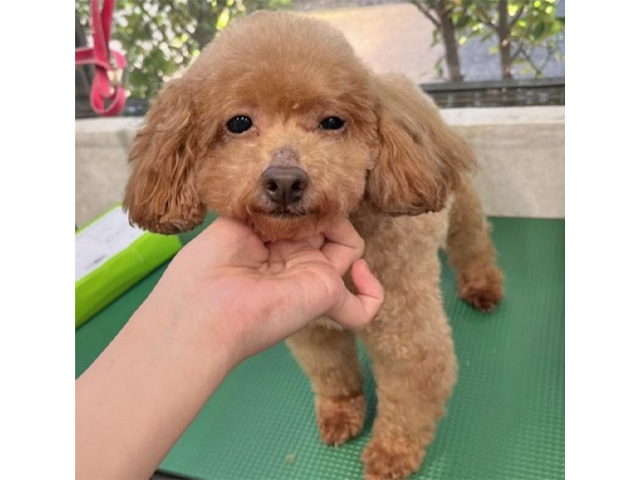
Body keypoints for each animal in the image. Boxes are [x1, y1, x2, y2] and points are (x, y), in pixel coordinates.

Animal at [124, 11, 504, 479]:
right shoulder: (313, 328)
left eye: (332, 122)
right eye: (239, 123)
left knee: (471, 238)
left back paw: (482, 285)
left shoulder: (406, 336)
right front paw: (342, 413)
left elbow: (410, 393)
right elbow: (332, 372)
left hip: (460, 199)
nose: (285, 180)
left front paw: (391, 453)